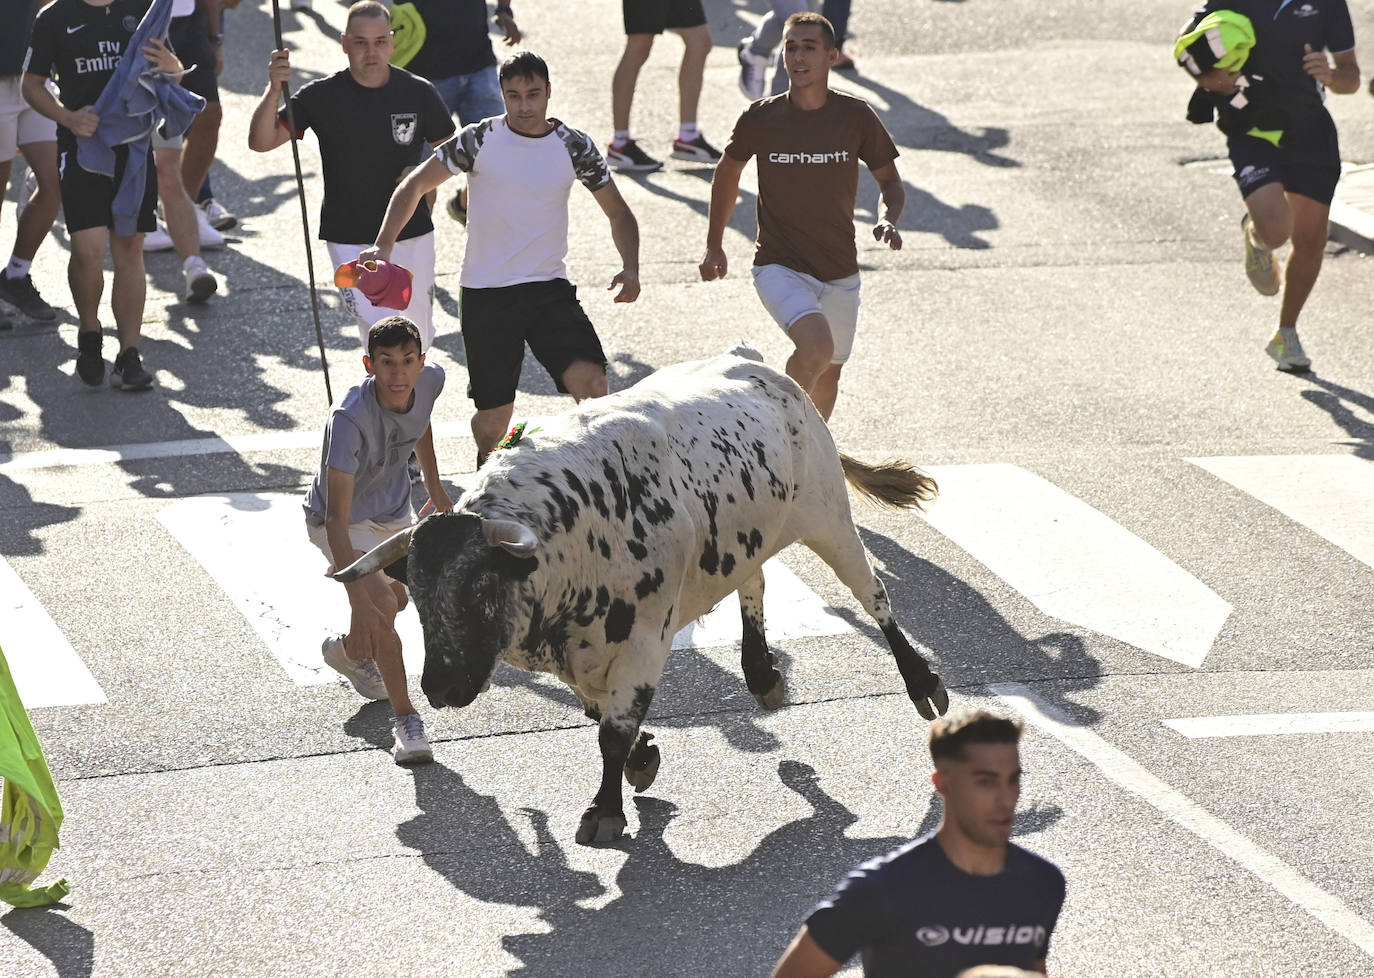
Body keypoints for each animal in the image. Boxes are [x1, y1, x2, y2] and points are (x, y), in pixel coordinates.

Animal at [338, 348, 950, 840]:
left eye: (479, 587)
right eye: (416, 594)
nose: (440, 687)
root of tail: (764, 369)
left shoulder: (645, 640)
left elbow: (613, 730)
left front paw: (606, 810)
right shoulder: (579, 659)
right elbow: (603, 718)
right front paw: (641, 759)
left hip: (829, 518)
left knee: (874, 597)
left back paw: (923, 684)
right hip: (749, 535)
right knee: (753, 580)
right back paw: (761, 674)